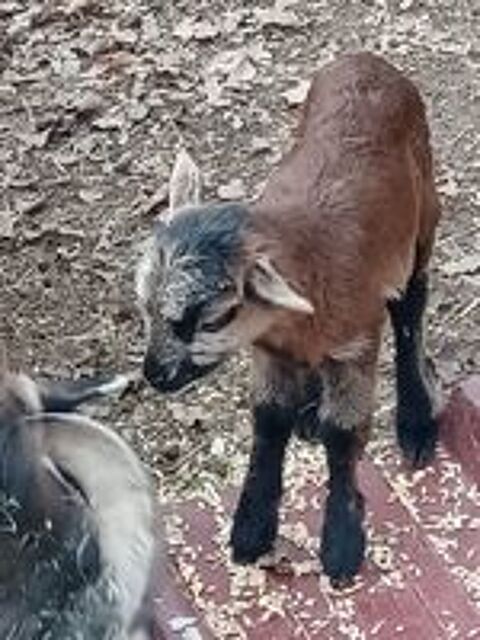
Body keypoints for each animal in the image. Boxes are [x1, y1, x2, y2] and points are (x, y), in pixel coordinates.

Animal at [136, 52, 441, 586]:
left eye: (211, 319)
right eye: (145, 305)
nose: (155, 375)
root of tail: (367, 59)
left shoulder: (358, 341)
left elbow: (344, 432)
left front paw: (341, 542)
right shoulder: (270, 352)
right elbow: (269, 420)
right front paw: (252, 528)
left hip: (423, 210)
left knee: (411, 308)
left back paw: (416, 420)